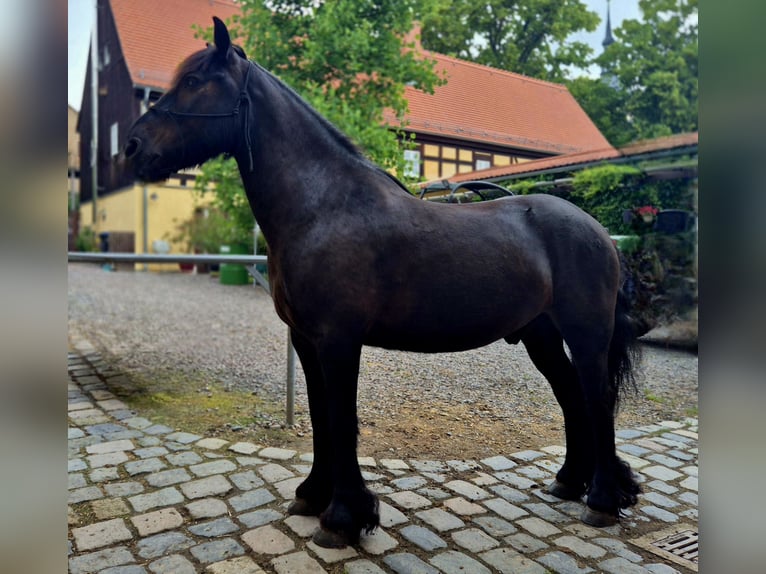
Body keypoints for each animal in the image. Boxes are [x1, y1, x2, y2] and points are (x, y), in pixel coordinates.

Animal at [125, 17, 641, 548]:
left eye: (193, 81)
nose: (132, 147)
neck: (324, 206)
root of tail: (600, 232)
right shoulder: (307, 341)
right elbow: (319, 416)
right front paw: (312, 496)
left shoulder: (338, 341)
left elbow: (341, 419)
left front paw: (343, 518)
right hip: (541, 336)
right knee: (573, 398)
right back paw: (571, 483)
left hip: (586, 334)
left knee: (597, 401)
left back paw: (602, 501)